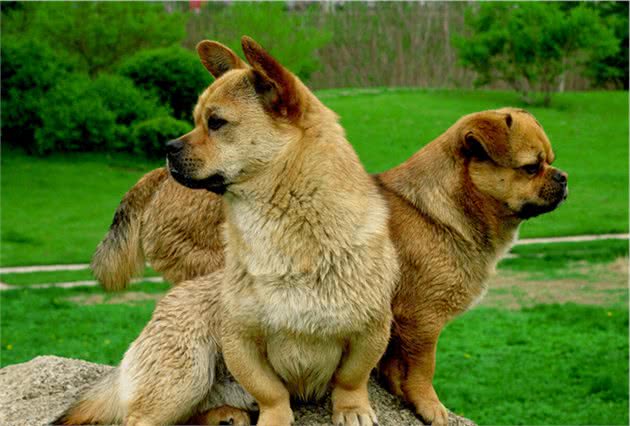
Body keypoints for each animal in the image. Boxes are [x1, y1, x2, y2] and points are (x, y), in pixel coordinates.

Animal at [59, 36, 398, 426]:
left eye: (216, 122)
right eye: (195, 121)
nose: (166, 147)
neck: (287, 238)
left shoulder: (372, 330)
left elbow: (351, 377)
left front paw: (351, 408)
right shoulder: (240, 339)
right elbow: (271, 391)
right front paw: (275, 418)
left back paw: (226, 415)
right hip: (184, 377)